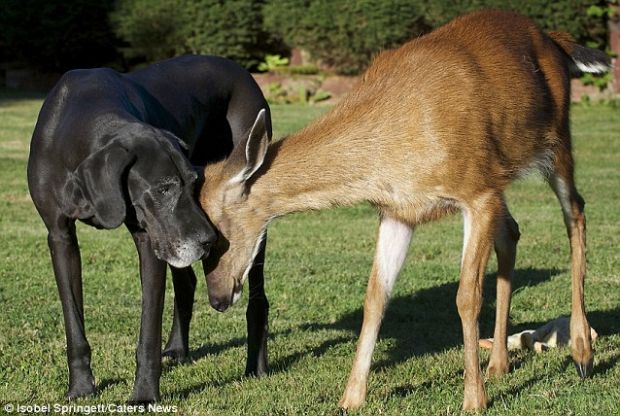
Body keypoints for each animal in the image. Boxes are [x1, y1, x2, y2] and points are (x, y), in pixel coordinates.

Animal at [26, 55, 270, 404]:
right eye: (164, 188)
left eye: (193, 183)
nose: (209, 241)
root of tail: (239, 69)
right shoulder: (60, 236)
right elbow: (73, 321)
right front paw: (81, 387)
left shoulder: (149, 239)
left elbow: (148, 333)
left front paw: (143, 394)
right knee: (186, 281)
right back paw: (178, 348)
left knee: (258, 297)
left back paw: (256, 365)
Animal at [200, 10, 612, 412]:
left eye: (215, 236)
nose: (218, 299)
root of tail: (553, 38)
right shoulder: (398, 211)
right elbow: (375, 297)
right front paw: (350, 398)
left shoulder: (475, 191)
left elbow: (467, 296)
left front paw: (473, 400)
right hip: (501, 176)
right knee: (511, 233)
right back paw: (498, 364)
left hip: (555, 139)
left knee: (575, 212)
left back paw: (582, 354)